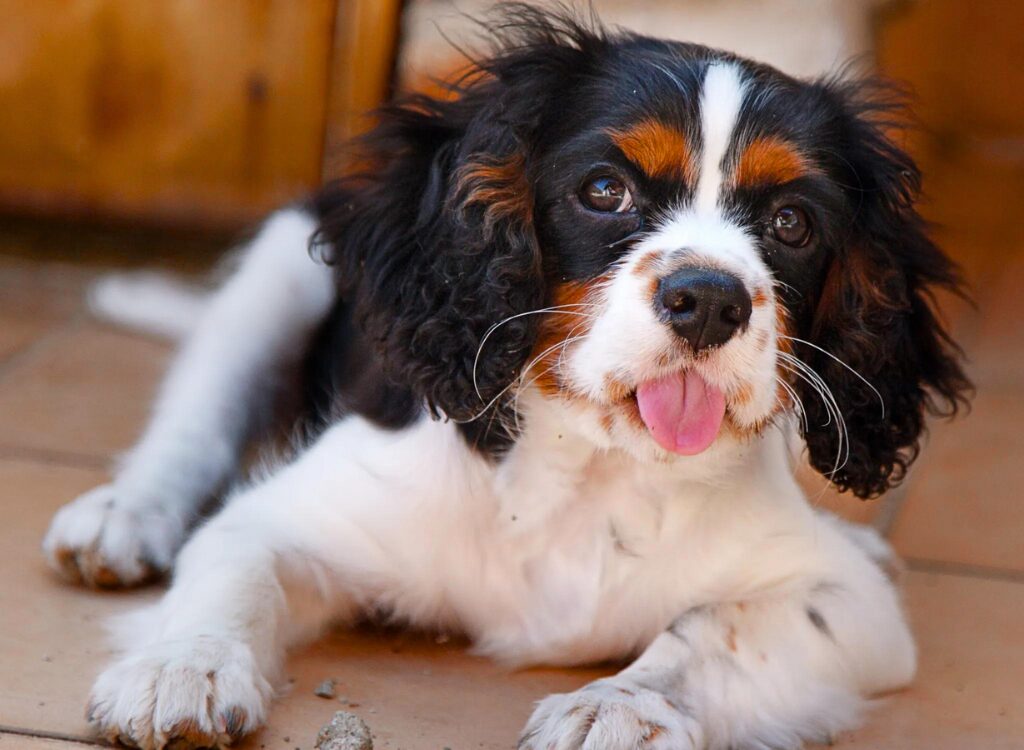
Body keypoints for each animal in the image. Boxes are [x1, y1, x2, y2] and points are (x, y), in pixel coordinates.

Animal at [41, 7, 966, 750]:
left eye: (792, 223)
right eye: (605, 189)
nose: (709, 300)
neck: (592, 469)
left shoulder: (847, 607)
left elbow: (710, 630)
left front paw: (620, 708)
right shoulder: (292, 516)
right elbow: (229, 569)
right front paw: (182, 670)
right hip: (275, 278)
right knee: (192, 423)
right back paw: (123, 518)